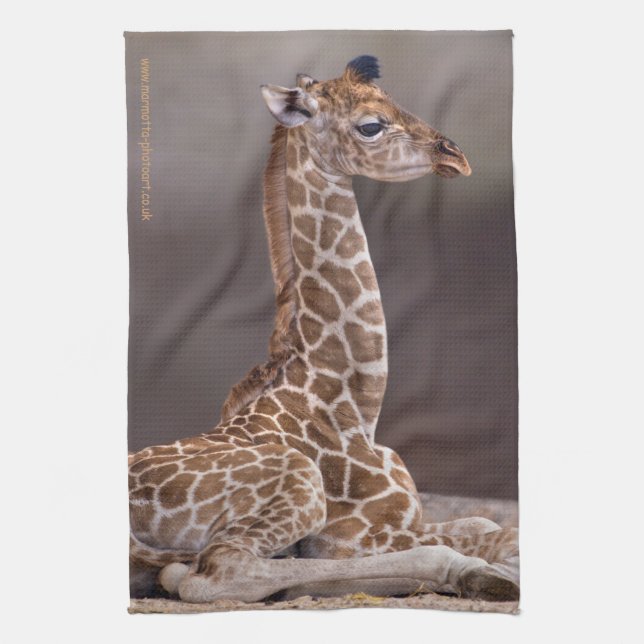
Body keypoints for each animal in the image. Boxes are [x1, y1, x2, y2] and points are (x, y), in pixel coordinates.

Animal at [129, 56, 519, 604]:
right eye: (371, 125)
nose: (456, 156)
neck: (355, 406)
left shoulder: (405, 521)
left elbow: (487, 524)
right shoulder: (358, 534)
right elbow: (502, 532)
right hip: (298, 483)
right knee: (216, 572)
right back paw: (479, 576)